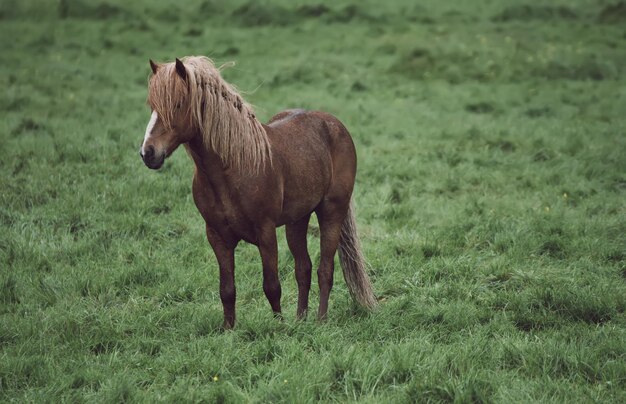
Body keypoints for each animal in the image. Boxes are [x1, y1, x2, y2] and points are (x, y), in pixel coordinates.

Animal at [140, 56, 376, 328]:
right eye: (151, 106)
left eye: (177, 104)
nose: (148, 153)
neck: (232, 168)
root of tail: (335, 124)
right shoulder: (217, 237)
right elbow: (227, 290)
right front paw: (229, 330)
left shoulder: (265, 232)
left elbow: (272, 286)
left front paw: (279, 327)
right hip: (297, 220)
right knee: (303, 268)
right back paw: (301, 320)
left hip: (332, 211)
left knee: (324, 269)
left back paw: (320, 321)